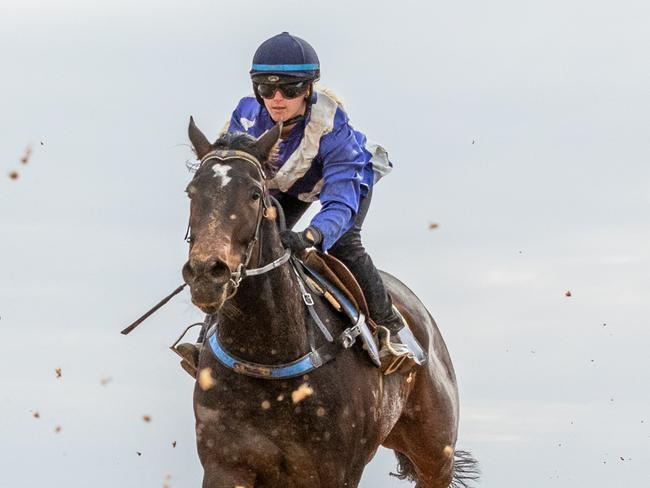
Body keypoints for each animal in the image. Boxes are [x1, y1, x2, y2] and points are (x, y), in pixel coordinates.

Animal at [178, 118, 476, 488]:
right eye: (191, 191)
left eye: (254, 194)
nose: (208, 272)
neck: (269, 355)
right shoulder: (226, 463)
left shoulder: (334, 470)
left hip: (436, 453)